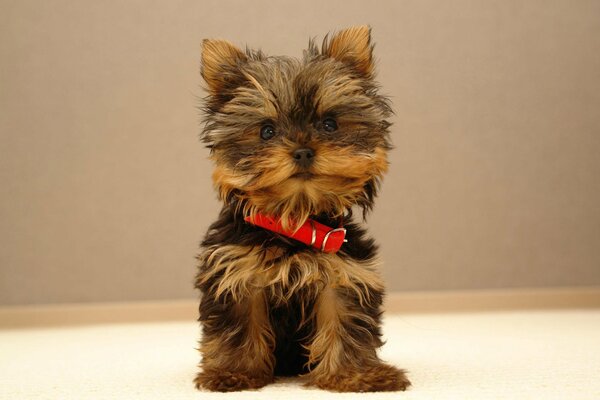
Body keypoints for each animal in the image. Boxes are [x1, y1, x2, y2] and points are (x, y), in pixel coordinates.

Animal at [195, 25, 410, 394]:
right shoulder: (236, 273)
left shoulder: (345, 274)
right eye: (266, 131)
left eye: (329, 124)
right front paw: (234, 372)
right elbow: (239, 322)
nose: (303, 150)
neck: (296, 221)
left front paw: (357, 375)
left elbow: (345, 322)